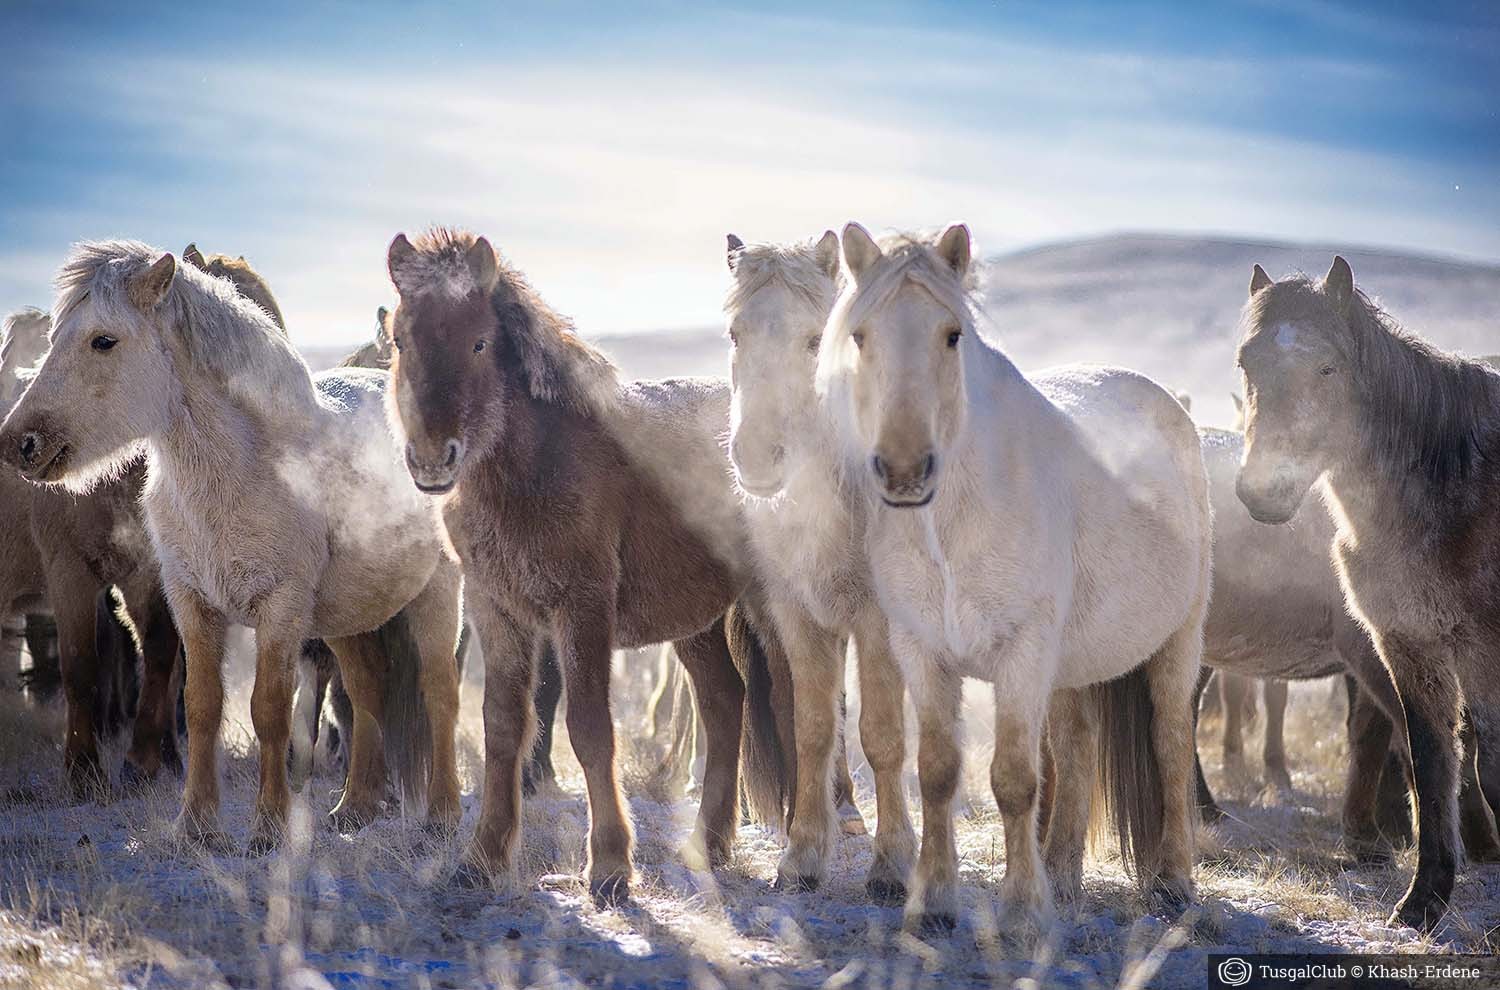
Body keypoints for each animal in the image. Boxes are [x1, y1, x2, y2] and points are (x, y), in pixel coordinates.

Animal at [0, 241, 463, 852]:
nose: (18, 442)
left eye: (103, 340)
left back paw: (441, 818)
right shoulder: (191, 603)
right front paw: (194, 824)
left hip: (438, 594)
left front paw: (268, 828)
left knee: (441, 694)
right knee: (367, 691)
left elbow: (269, 710)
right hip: (352, 617)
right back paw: (354, 808)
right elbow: (199, 705)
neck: (242, 469)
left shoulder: (280, 610)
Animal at [383, 227, 791, 904]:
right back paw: (709, 842)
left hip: (770, 606)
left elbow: (591, 729)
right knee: (724, 702)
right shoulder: (497, 608)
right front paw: (482, 857)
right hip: (697, 622)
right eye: (398, 339)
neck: (536, 464)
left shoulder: (582, 609)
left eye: (479, 341)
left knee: (795, 701)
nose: (433, 460)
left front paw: (609, 866)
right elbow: (503, 727)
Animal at [721, 232, 914, 900]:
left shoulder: (881, 623)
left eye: (813, 340)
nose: (756, 456)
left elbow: (882, 735)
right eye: (735, 334)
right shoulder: (799, 618)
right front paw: (803, 854)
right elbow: (809, 728)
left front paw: (893, 865)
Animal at [815, 224, 1212, 931]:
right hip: (1074, 665)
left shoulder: (1022, 655)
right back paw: (1064, 876)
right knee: (1077, 749)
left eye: (952, 334)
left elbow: (1016, 781)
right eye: (860, 336)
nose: (905, 469)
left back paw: (1172, 884)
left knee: (1169, 744)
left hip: (1177, 642)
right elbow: (939, 771)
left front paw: (1024, 911)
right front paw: (934, 901)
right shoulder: (922, 651)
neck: (952, 521)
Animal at [1235, 256, 1500, 931]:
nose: (1263, 491)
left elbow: (1488, 765)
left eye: (1328, 368)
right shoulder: (1409, 649)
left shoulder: (1484, 654)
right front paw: (1423, 902)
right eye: (1247, 364)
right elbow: (1430, 764)